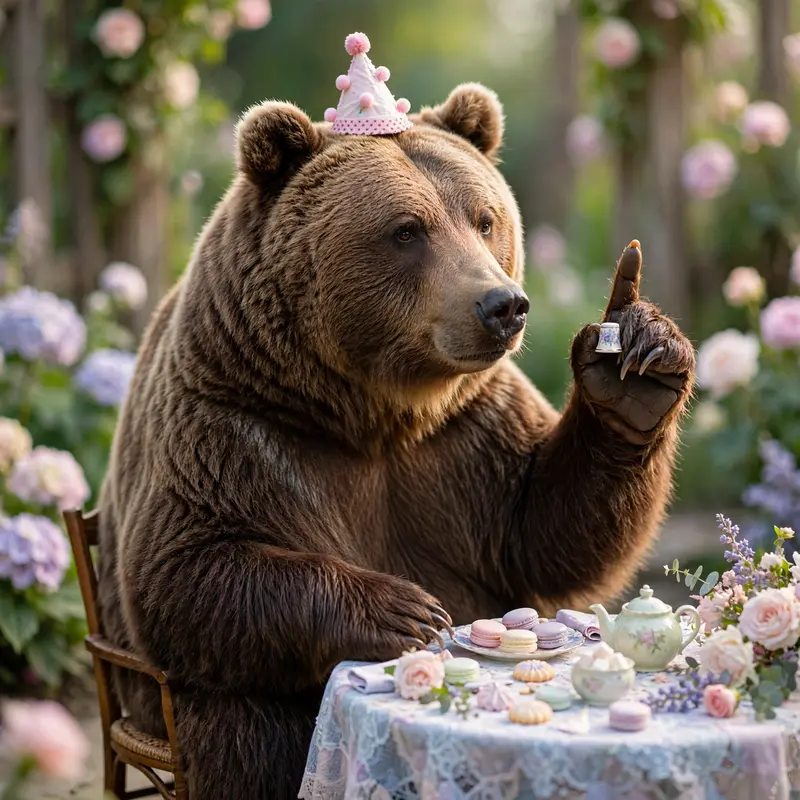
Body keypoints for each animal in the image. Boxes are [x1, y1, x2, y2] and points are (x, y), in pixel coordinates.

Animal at [97, 83, 695, 799]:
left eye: (484, 218)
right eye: (407, 229)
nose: (503, 305)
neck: (374, 411)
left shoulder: (466, 438)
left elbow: (547, 533)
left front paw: (635, 361)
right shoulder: (234, 424)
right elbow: (183, 565)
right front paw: (406, 611)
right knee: (247, 736)